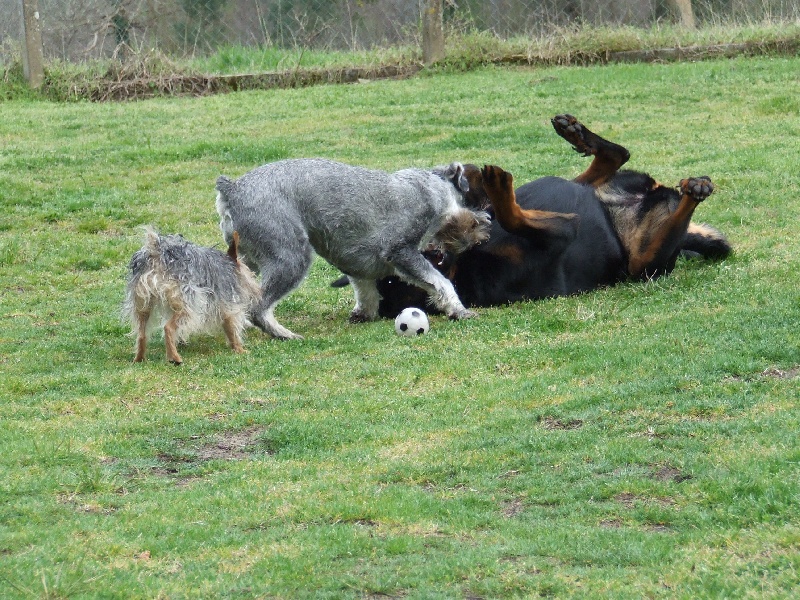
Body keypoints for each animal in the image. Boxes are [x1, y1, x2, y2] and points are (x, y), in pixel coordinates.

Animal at [124, 227, 262, 364]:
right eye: (250, 274)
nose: (257, 289)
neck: (229, 266)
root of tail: (156, 253)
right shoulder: (227, 305)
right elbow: (231, 328)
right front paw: (239, 349)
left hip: (143, 304)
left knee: (142, 333)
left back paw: (139, 358)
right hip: (190, 303)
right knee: (168, 328)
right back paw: (174, 358)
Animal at [214, 157, 488, 340]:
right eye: (470, 199)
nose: (483, 226)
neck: (429, 188)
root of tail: (232, 190)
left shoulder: (355, 261)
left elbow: (365, 289)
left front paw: (364, 314)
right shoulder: (401, 251)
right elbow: (440, 281)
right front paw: (459, 310)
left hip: (245, 258)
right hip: (291, 258)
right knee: (259, 307)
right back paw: (283, 334)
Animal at [334, 114, 728, 316]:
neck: (463, 263)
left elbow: (500, 212)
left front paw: (482, 184)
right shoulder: (561, 230)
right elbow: (513, 218)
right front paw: (495, 186)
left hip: (591, 186)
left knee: (612, 159)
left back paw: (577, 133)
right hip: (643, 264)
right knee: (658, 233)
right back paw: (694, 191)